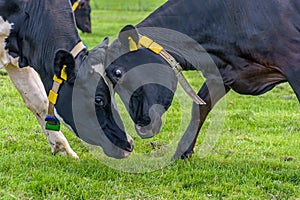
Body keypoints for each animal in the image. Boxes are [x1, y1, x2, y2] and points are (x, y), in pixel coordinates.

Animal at [103, 0, 300, 159]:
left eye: (118, 72)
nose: (141, 128)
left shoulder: (293, 61)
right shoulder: (223, 73)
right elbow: (200, 108)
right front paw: (182, 151)